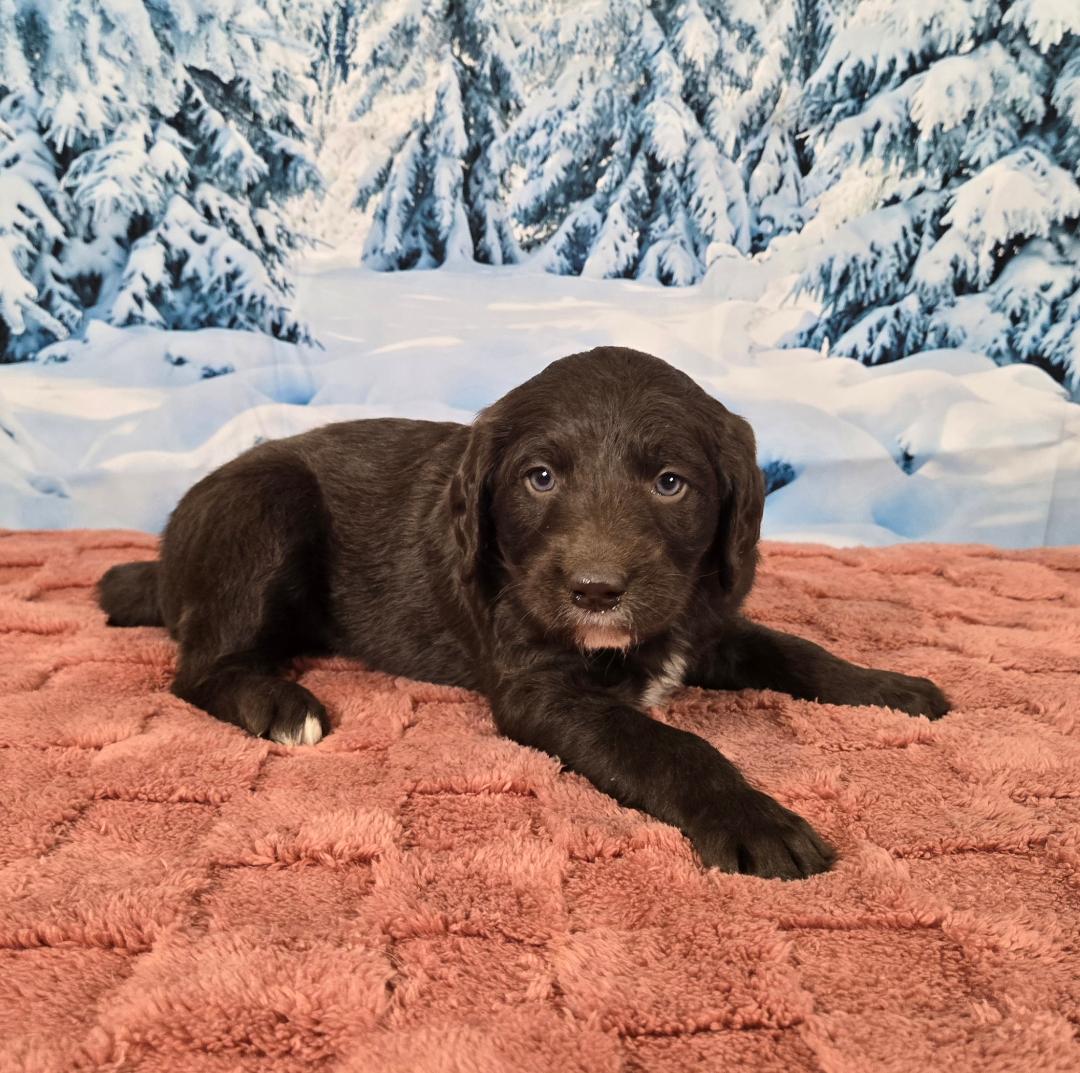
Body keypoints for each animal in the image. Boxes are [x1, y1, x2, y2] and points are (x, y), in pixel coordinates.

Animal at [98, 346, 948, 879]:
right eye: (539, 477)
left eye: (670, 483)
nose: (597, 590)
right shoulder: (541, 684)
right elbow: (669, 745)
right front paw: (755, 820)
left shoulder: (703, 618)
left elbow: (796, 650)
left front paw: (893, 689)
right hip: (263, 505)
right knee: (199, 667)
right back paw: (281, 704)